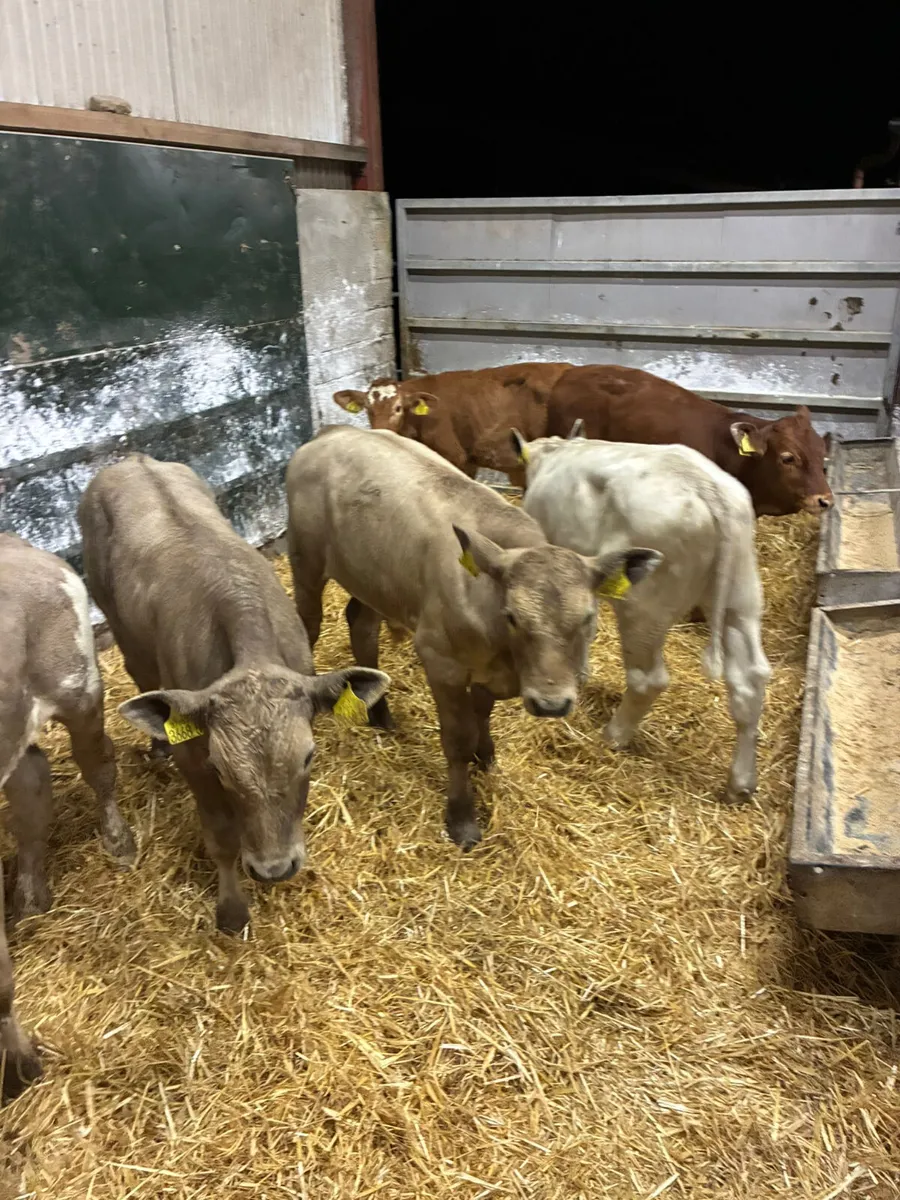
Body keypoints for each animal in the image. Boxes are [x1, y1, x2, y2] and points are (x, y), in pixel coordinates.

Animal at [78, 455, 390, 934]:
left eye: (308, 757)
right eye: (219, 767)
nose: (274, 869)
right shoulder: (194, 755)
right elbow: (222, 837)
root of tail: (132, 459)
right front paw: (232, 911)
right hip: (121, 627)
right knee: (141, 675)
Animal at [285, 426, 661, 850]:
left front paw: (487, 755)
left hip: (372, 577)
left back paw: (380, 714)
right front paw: (462, 817)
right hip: (306, 560)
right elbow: (458, 738)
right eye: (512, 616)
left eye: (588, 618)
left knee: (361, 623)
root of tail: (335, 431)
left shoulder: (488, 672)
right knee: (309, 624)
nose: (551, 704)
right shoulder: (441, 662)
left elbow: (482, 714)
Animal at [515, 426, 771, 803]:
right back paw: (740, 784)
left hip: (643, 605)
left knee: (647, 679)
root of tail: (707, 488)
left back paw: (614, 735)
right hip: (741, 596)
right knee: (749, 678)